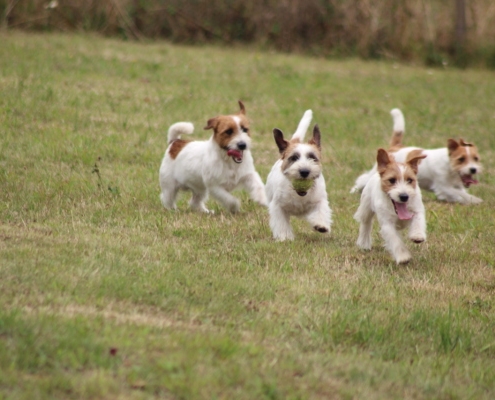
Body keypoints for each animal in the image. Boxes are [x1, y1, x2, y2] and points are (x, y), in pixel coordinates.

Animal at [266, 109, 332, 241]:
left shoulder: (320, 200)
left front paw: (321, 225)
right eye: (294, 158)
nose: (304, 171)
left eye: (312, 157)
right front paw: (285, 237)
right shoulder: (277, 206)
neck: (299, 194)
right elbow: (281, 222)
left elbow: (321, 210)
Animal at [352, 108, 484, 205]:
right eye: (461, 159)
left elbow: (462, 193)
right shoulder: (443, 187)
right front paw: (476, 200)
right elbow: (462, 194)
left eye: (476, 158)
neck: (449, 165)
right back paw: (354, 190)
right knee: (363, 179)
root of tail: (396, 146)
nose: (473, 169)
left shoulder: (457, 186)